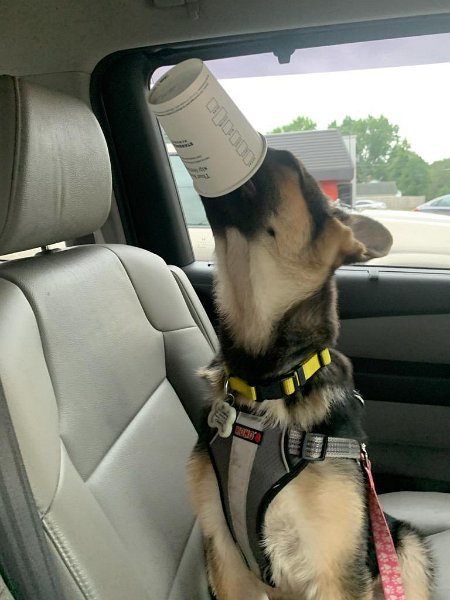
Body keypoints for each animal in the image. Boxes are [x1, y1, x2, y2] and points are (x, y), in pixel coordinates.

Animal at [188, 146, 434, 600]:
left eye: (291, 167)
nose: (267, 147)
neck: (266, 380)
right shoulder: (225, 554)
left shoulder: (335, 568)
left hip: (404, 544)